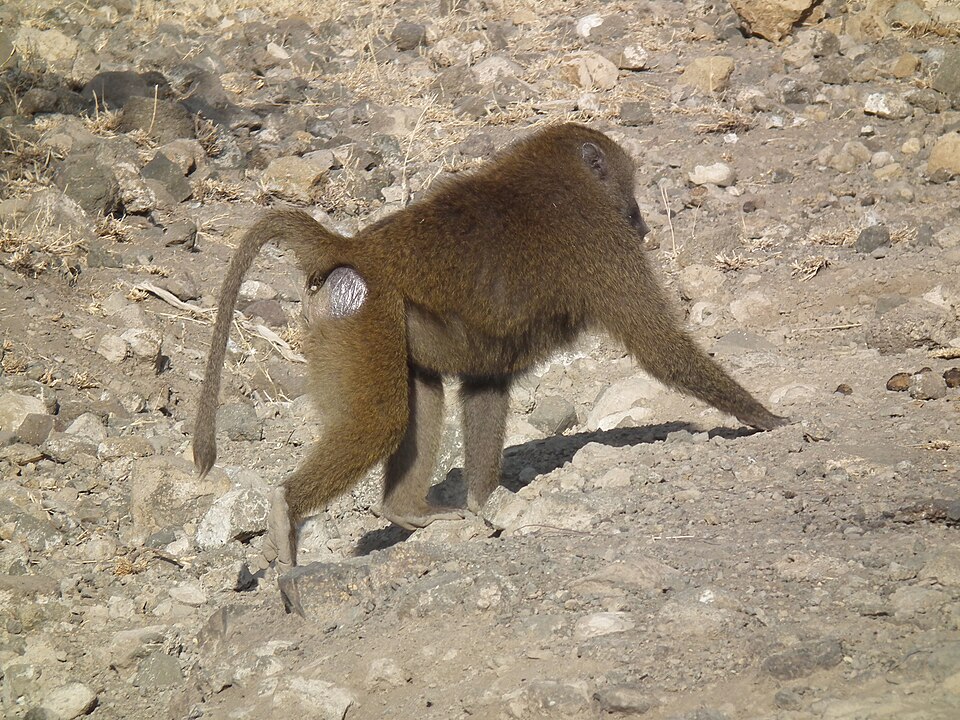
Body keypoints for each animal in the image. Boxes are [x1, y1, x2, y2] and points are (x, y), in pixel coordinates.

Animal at [194, 122, 787, 571]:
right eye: (629, 191)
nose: (641, 222)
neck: (552, 174)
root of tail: (355, 248)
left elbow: (485, 388)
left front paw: (483, 508)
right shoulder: (599, 238)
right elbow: (658, 344)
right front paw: (770, 420)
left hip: (370, 321)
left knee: (420, 393)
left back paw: (405, 510)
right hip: (364, 315)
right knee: (381, 419)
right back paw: (285, 511)